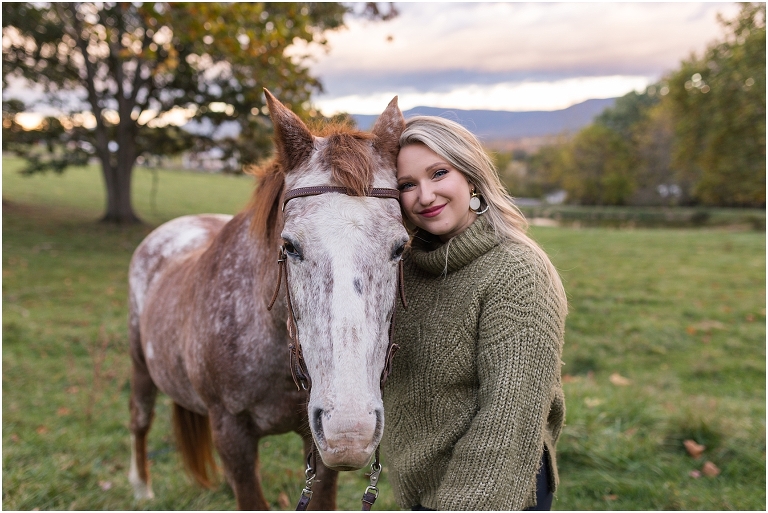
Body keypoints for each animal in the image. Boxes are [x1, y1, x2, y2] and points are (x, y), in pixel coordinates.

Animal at [127, 90, 408, 510]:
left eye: (401, 248)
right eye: (289, 246)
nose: (349, 430)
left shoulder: (316, 445)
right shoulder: (231, 433)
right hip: (140, 366)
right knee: (140, 420)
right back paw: (142, 487)